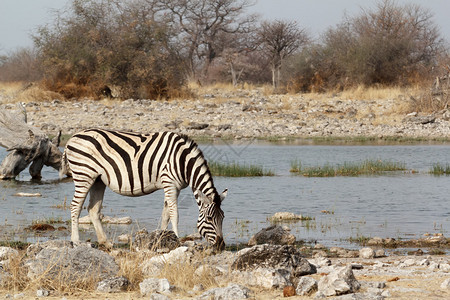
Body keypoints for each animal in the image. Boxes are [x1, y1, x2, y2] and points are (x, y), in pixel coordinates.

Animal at [60, 128, 229, 248]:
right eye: (209, 218)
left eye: (223, 218)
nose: (221, 245)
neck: (183, 160)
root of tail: (72, 138)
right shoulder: (170, 183)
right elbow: (174, 213)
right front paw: (177, 239)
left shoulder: (173, 186)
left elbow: (165, 214)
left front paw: (161, 237)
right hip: (84, 174)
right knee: (75, 206)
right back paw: (76, 241)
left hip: (97, 180)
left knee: (93, 209)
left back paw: (105, 242)